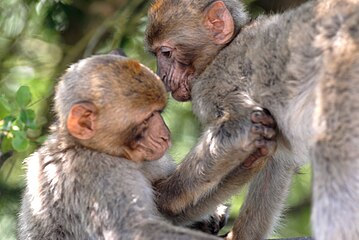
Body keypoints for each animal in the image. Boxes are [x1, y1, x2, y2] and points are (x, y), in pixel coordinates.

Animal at [18, 53, 276, 239]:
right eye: (146, 119)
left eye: (159, 113)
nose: (164, 135)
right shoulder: (96, 173)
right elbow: (136, 230)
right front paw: (242, 131)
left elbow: (167, 206)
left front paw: (252, 159)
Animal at [146, 0, 359, 239]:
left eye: (165, 52)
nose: (161, 76)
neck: (222, 50)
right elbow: (276, 162)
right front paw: (241, 235)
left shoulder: (211, 84)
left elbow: (242, 121)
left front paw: (164, 197)